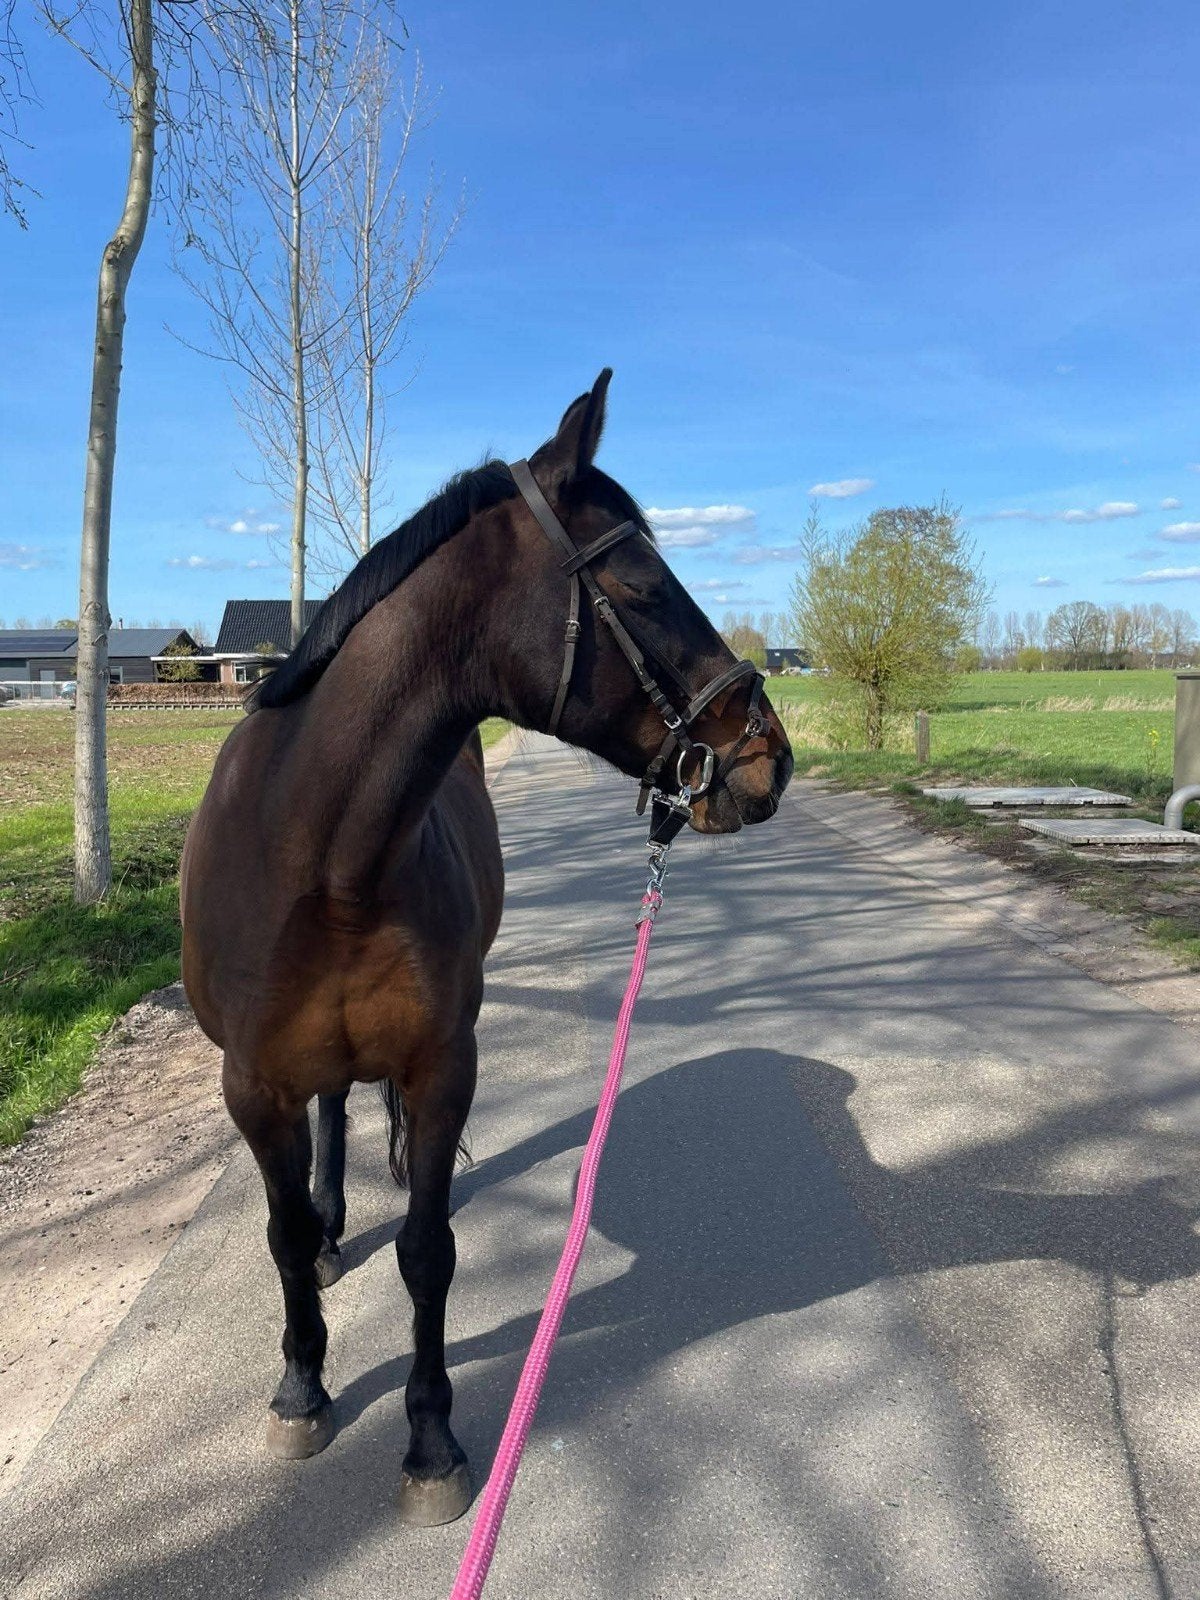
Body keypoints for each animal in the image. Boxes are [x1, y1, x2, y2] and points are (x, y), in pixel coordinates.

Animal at [180, 369, 793, 1526]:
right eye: (643, 585)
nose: (768, 757)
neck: (319, 856)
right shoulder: (252, 1085)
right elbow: (281, 1236)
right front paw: (301, 1389)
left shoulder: (441, 1065)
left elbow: (430, 1252)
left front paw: (430, 1442)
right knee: (331, 1125)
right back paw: (333, 1228)